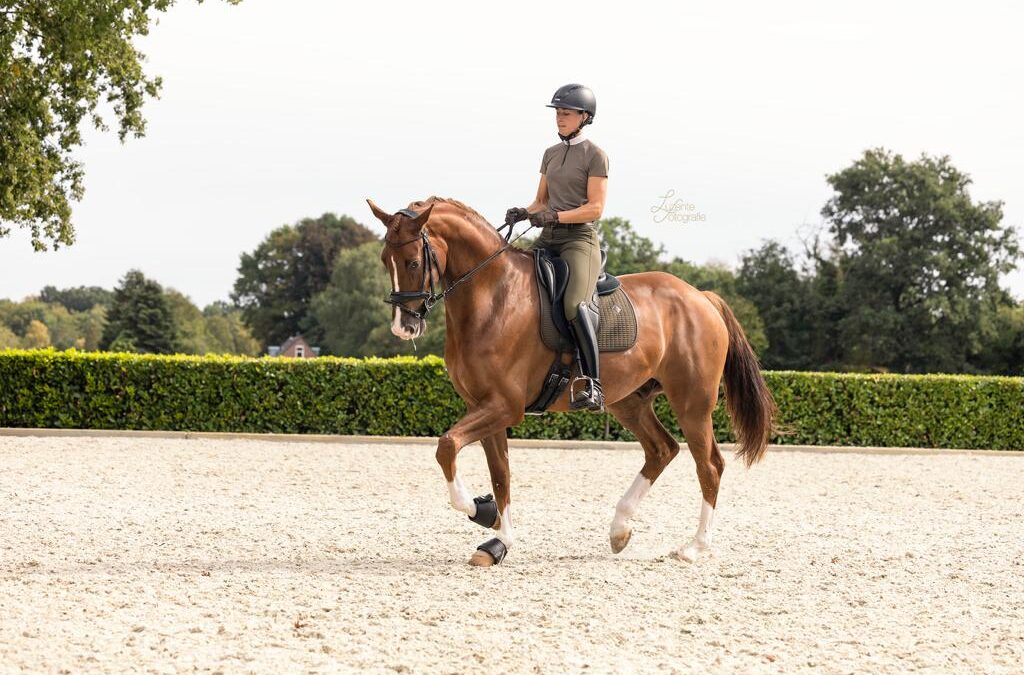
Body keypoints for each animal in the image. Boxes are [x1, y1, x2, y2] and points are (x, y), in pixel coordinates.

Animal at [368, 197, 774, 569]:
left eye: (413, 262)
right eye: (385, 260)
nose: (403, 327)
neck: (492, 295)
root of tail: (700, 296)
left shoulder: (504, 407)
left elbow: (447, 446)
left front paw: (483, 512)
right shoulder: (484, 407)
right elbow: (501, 475)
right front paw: (498, 538)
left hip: (692, 402)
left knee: (709, 465)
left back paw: (694, 547)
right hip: (630, 401)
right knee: (662, 450)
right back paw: (619, 529)